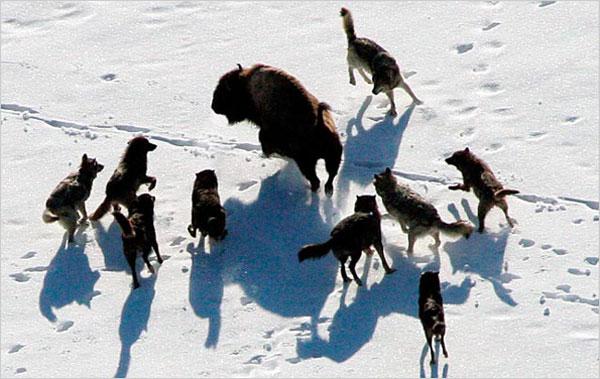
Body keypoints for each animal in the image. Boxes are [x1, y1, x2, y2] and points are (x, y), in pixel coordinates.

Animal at [211, 63, 342, 196]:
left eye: (224, 91)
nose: (213, 106)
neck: (246, 85)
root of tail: (319, 123)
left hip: (307, 162)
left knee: (316, 180)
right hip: (332, 157)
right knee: (330, 176)